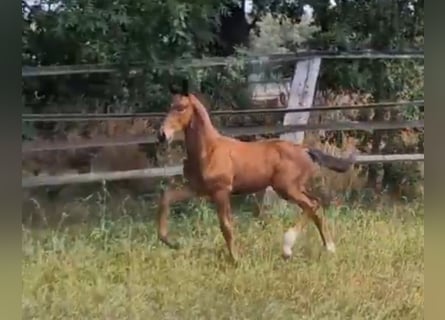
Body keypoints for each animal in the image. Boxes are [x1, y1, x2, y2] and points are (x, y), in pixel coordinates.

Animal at [156, 80, 354, 262]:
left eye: (181, 108)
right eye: (169, 106)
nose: (162, 135)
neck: (208, 150)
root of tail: (305, 150)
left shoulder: (221, 191)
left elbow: (226, 226)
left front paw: (236, 260)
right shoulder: (197, 189)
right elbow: (166, 198)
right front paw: (171, 242)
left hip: (286, 188)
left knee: (311, 205)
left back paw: (288, 247)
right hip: (296, 187)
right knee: (316, 205)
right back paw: (329, 247)